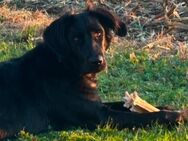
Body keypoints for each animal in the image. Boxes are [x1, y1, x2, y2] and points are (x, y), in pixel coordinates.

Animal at [0, 7, 188, 139]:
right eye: (76, 39)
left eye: (99, 33)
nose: (97, 61)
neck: (65, 67)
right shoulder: (101, 117)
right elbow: (148, 117)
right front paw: (177, 116)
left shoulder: (97, 104)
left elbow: (129, 106)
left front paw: (166, 107)